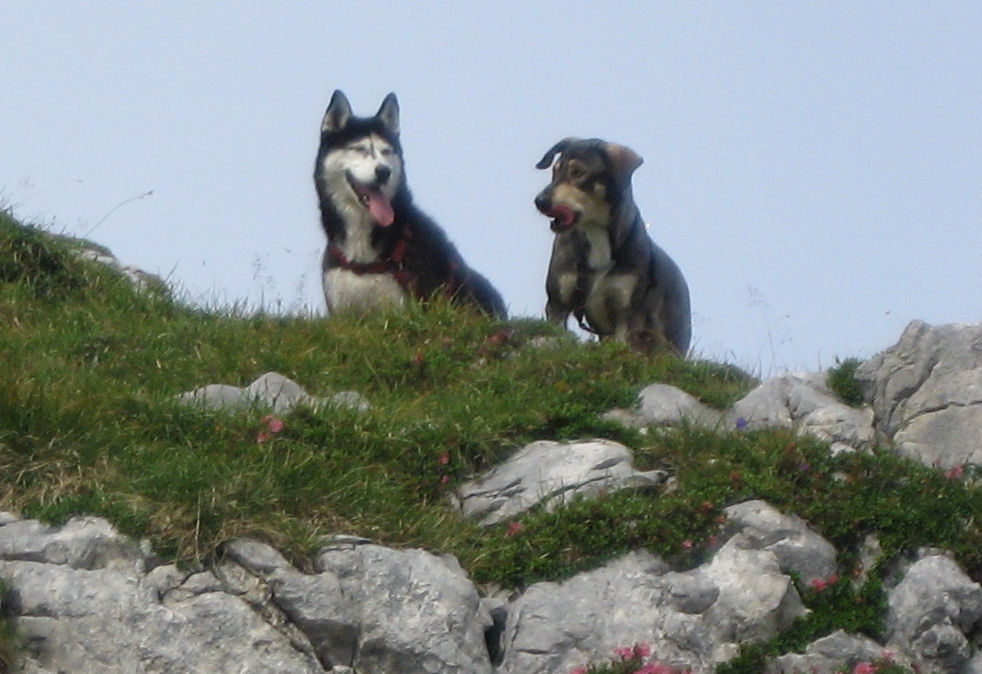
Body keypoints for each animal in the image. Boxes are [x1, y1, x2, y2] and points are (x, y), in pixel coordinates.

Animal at [540, 138, 692, 354]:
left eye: (578, 172)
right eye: (554, 170)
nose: (539, 201)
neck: (596, 235)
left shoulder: (624, 311)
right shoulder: (558, 303)